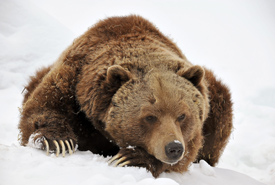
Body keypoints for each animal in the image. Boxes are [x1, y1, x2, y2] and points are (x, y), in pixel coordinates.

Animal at [18, 14, 233, 178]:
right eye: (150, 117)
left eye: (182, 116)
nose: (174, 148)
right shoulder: (74, 77)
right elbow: (43, 106)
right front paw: (58, 141)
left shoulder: (197, 129)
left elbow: (190, 149)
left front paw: (131, 158)